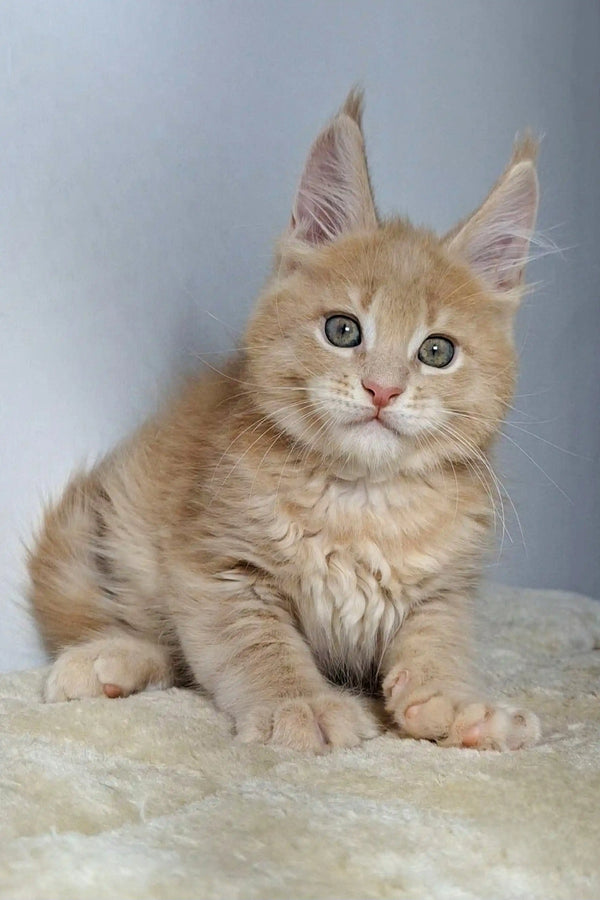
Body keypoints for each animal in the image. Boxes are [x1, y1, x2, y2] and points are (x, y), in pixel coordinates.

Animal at [28, 91, 544, 752]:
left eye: (437, 350)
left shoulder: (446, 591)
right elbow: (259, 648)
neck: (363, 501)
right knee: (139, 634)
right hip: (104, 531)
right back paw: (107, 658)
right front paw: (301, 705)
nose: (382, 389)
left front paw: (457, 706)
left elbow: (439, 646)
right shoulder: (218, 567)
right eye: (343, 330)